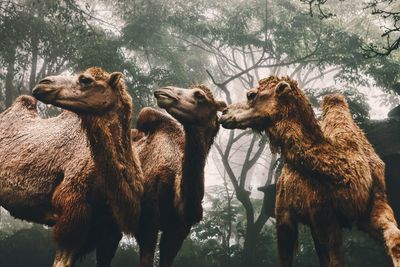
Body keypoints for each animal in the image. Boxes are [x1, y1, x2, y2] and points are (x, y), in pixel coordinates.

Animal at [220, 76, 400, 267]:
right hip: (283, 212)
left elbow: (395, 240)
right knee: (286, 253)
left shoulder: (374, 205)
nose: (224, 112)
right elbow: (335, 261)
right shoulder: (323, 215)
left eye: (251, 95)